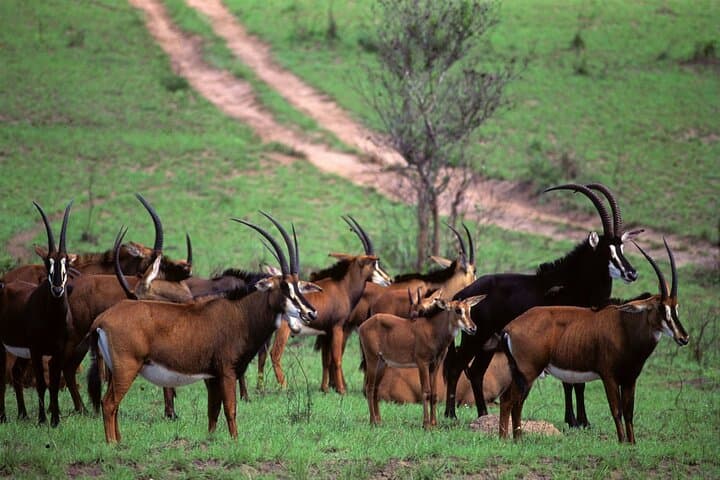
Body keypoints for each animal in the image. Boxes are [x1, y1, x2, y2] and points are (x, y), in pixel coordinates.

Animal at [88, 213, 321, 442]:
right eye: (284, 286)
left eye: (298, 285)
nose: (311, 313)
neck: (240, 313)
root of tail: (103, 319)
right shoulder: (226, 372)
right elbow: (230, 410)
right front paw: (235, 442)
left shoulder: (212, 377)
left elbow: (213, 412)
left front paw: (211, 440)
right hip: (127, 368)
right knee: (109, 403)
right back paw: (112, 445)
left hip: (116, 370)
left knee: (113, 405)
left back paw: (119, 442)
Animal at [258, 215, 391, 394]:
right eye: (373, 264)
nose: (389, 279)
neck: (343, 287)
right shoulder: (337, 327)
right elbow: (337, 358)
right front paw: (341, 390)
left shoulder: (326, 332)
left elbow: (325, 360)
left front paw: (325, 389)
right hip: (283, 330)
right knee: (275, 354)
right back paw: (284, 388)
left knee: (262, 355)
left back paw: (259, 389)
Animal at [359, 294, 486, 428]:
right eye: (458, 310)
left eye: (469, 310)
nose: (473, 328)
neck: (433, 331)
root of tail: (362, 326)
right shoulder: (422, 363)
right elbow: (425, 391)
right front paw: (426, 424)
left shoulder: (435, 365)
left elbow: (434, 393)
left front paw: (434, 424)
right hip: (372, 359)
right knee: (369, 388)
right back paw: (372, 421)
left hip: (382, 363)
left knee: (375, 389)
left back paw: (379, 421)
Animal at [444, 183, 641, 426]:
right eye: (607, 251)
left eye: (621, 247)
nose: (632, 273)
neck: (574, 283)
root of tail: (463, 293)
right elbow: (571, 382)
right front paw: (575, 420)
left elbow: (577, 382)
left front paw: (581, 421)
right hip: (475, 337)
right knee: (456, 367)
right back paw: (450, 414)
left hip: (488, 343)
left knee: (476, 372)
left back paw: (483, 413)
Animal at [499, 239, 689, 443]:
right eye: (661, 308)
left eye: (676, 308)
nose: (683, 338)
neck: (624, 326)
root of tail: (509, 327)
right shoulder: (609, 376)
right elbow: (616, 410)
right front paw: (621, 442)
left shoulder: (630, 379)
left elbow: (629, 412)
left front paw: (632, 443)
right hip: (528, 373)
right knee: (514, 401)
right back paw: (513, 439)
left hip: (519, 373)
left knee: (509, 400)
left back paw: (509, 438)